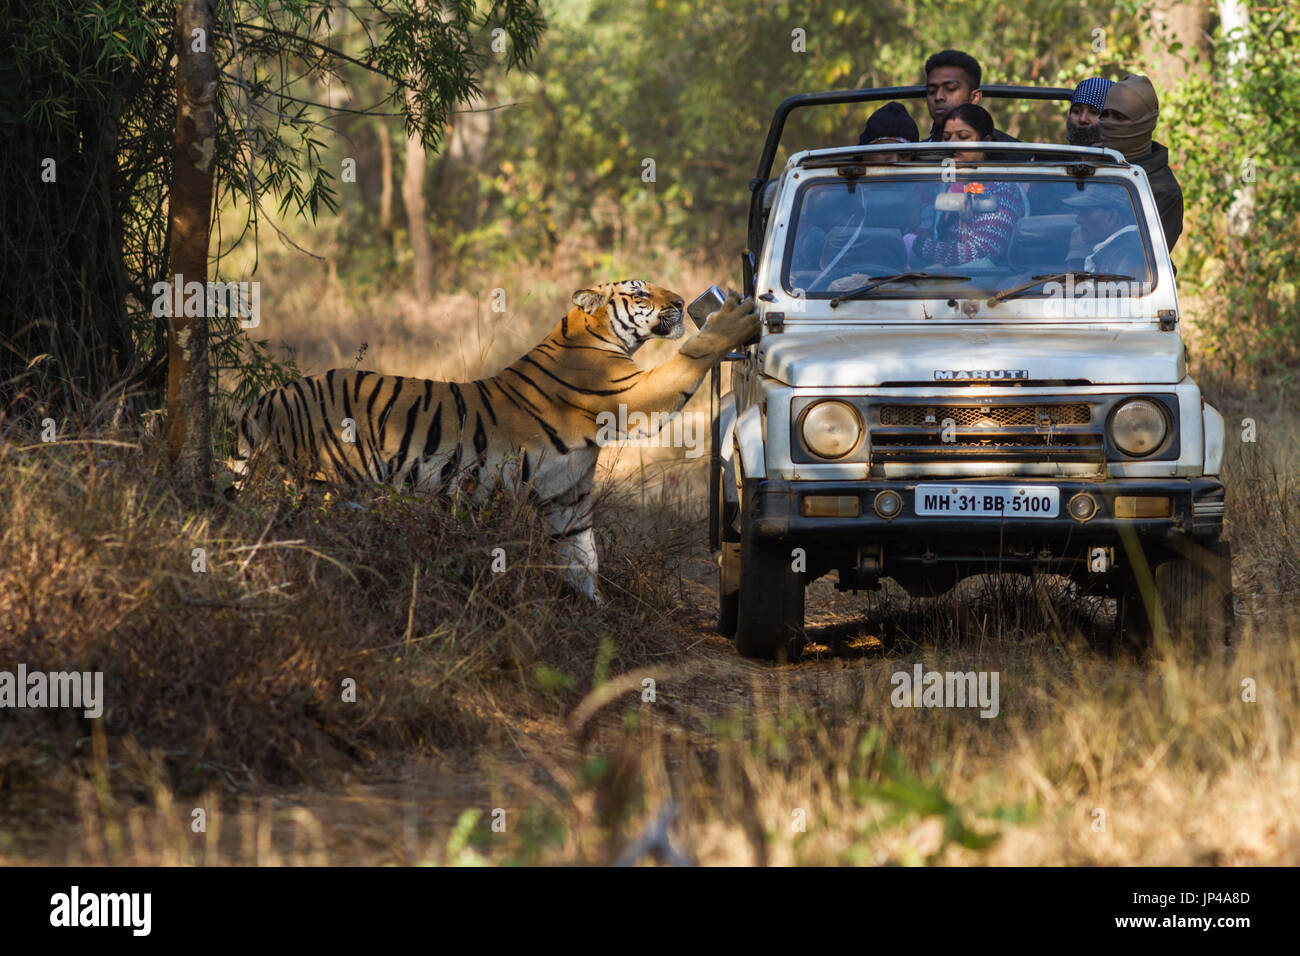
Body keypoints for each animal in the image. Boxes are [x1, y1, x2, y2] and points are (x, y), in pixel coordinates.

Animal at [231, 278, 759, 606]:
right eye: (640, 290)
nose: (680, 302)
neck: (593, 334)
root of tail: (269, 397)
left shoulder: (568, 497)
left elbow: (581, 557)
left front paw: (595, 615)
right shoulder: (635, 396)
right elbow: (689, 357)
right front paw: (733, 320)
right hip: (321, 486)